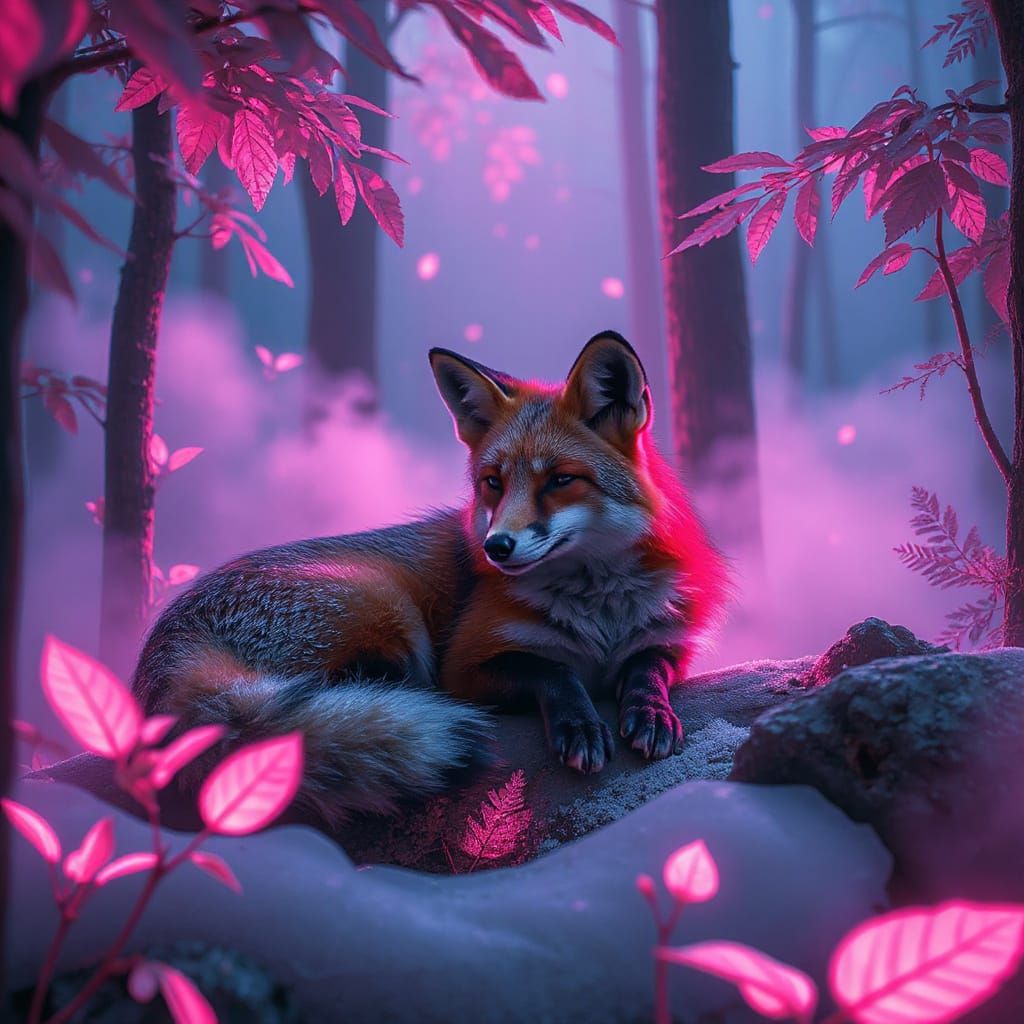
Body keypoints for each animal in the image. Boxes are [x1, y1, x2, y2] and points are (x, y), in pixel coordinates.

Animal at [133, 331, 729, 826]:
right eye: (493, 483)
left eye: (561, 480)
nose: (496, 547)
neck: (600, 613)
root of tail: (166, 644)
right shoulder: (465, 666)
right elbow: (550, 669)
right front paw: (578, 721)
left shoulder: (667, 641)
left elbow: (649, 668)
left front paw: (650, 711)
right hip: (383, 604)